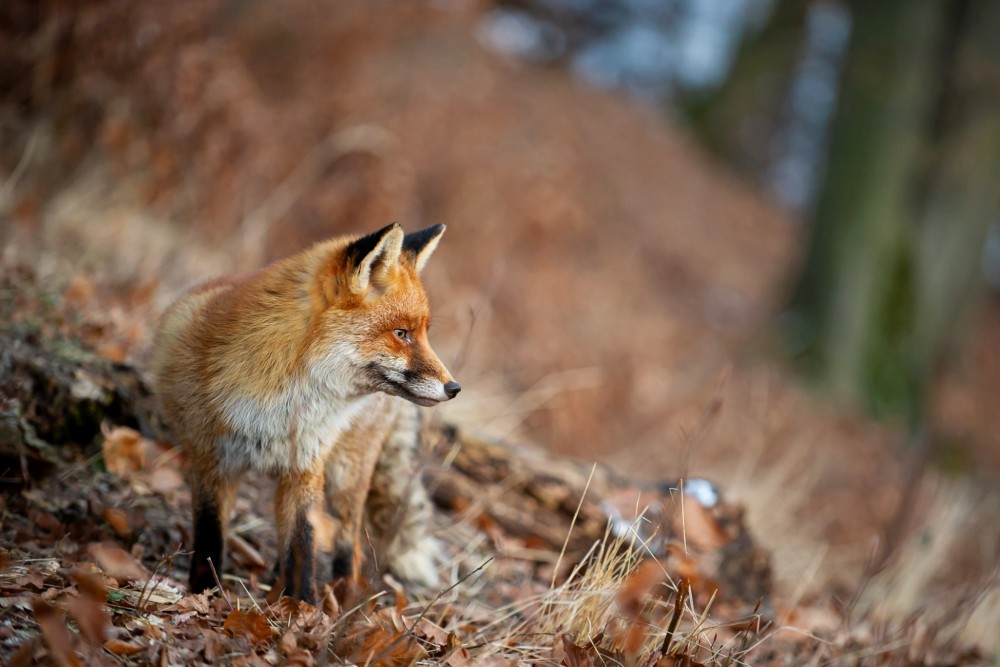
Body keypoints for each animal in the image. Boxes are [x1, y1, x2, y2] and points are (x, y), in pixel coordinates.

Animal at [152, 222, 460, 604]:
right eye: (401, 333)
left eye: (424, 334)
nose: (454, 388)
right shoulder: (211, 462)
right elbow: (210, 540)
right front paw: (203, 593)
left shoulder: (305, 468)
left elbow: (303, 546)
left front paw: (302, 609)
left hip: (346, 475)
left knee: (350, 544)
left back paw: (343, 599)